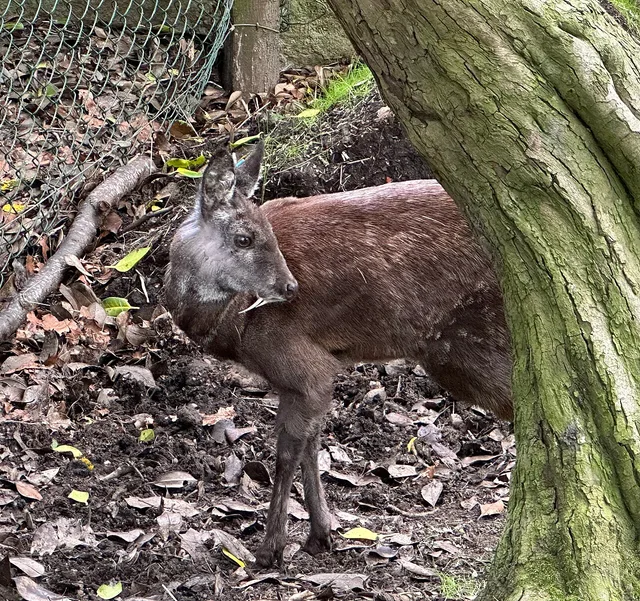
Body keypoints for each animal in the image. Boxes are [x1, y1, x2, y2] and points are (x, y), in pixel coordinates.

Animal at [164, 142, 512, 568]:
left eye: (267, 235)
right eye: (244, 238)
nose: (289, 287)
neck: (236, 324)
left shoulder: (301, 363)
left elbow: (287, 451)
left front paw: (270, 549)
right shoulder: (306, 375)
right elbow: (311, 443)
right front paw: (320, 535)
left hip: (471, 344)